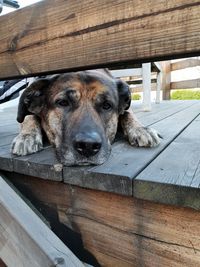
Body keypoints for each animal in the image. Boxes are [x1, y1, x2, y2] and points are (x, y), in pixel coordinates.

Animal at [11, 69, 160, 165]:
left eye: (107, 105)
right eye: (63, 102)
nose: (88, 146)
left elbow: (128, 113)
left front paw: (141, 129)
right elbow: (29, 117)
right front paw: (27, 136)